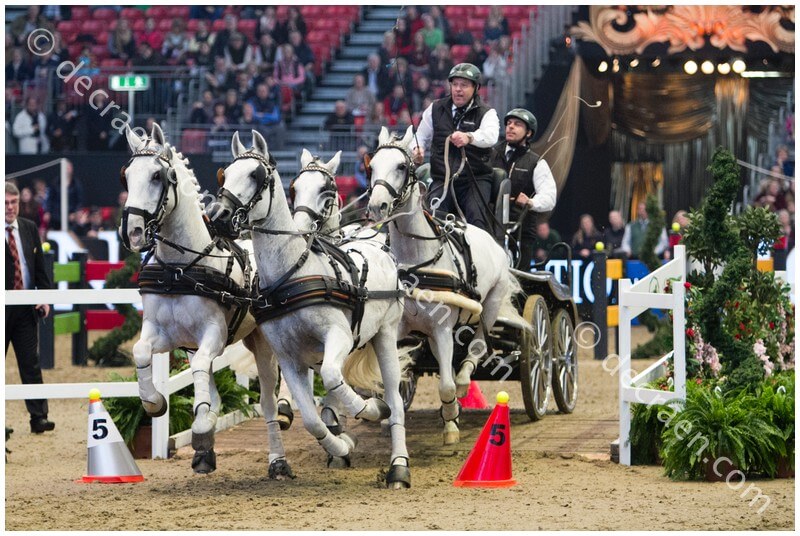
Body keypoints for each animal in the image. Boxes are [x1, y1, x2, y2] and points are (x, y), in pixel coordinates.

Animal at [119, 123, 293, 479]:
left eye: (157, 176)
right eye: (125, 176)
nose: (132, 231)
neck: (181, 268)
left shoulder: (213, 333)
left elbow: (201, 367)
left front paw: (200, 426)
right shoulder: (165, 334)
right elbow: (141, 351)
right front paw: (154, 402)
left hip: (261, 343)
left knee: (268, 401)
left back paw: (277, 459)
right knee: (211, 387)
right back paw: (205, 447)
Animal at [208, 130, 412, 488]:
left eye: (255, 175)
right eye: (226, 173)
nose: (217, 215)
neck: (292, 274)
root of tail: (377, 242)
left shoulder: (338, 337)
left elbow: (333, 378)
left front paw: (370, 409)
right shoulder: (289, 357)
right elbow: (311, 418)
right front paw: (341, 445)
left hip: (386, 333)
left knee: (396, 401)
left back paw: (398, 466)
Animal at [366, 126, 528, 444]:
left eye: (401, 166)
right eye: (372, 165)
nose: (376, 206)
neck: (417, 263)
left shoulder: (442, 328)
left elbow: (446, 386)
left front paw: (451, 419)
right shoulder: (398, 329)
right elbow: (394, 375)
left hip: (490, 306)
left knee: (477, 348)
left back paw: (464, 384)